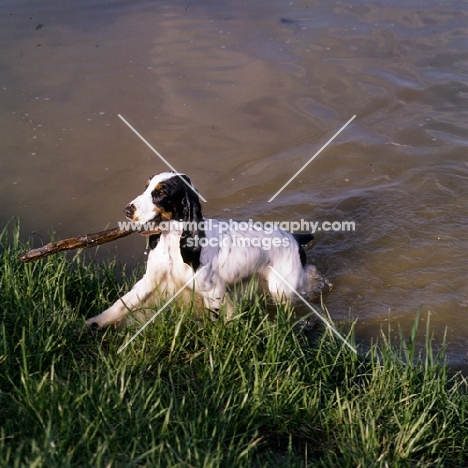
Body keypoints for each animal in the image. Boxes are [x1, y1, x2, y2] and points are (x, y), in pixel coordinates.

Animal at [86, 172, 322, 330]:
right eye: (146, 187)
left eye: (161, 192)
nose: (127, 210)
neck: (173, 244)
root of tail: (294, 237)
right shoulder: (152, 280)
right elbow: (123, 303)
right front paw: (94, 322)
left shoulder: (213, 292)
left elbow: (214, 319)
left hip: (283, 287)